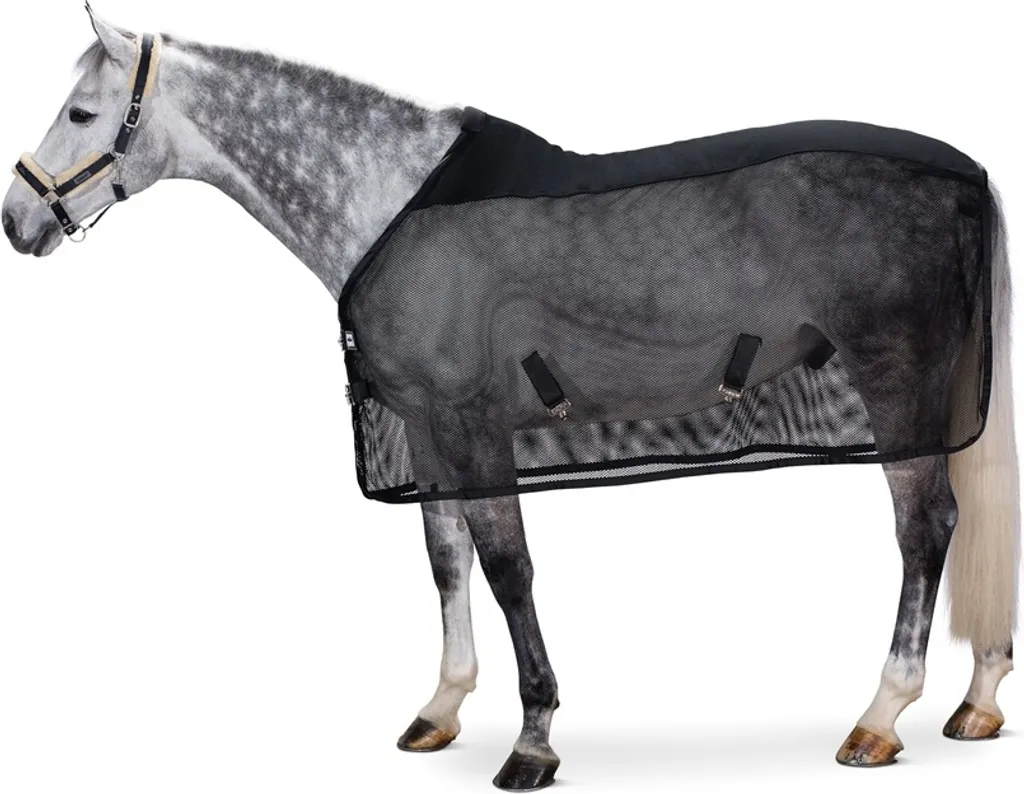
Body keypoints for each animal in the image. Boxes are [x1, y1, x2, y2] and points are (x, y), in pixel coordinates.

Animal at [3, 8, 1018, 790]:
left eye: (83, 110)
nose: (17, 222)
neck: (391, 204)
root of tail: (966, 174)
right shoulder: (427, 431)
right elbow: (446, 562)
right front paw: (442, 706)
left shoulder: (472, 422)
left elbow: (507, 570)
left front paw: (533, 741)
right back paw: (976, 702)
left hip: (897, 382)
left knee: (926, 527)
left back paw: (882, 716)